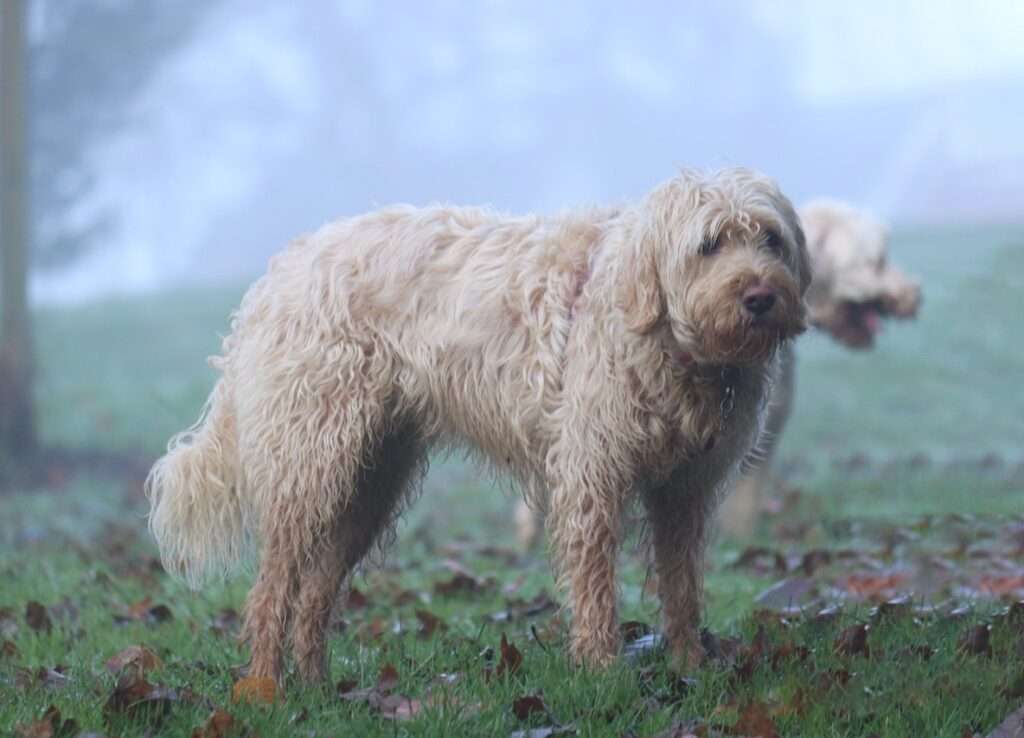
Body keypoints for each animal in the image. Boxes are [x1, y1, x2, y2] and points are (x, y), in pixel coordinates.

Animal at [148, 168, 811, 683]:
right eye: (710, 244)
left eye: (770, 239)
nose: (760, 296)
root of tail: (281, 271)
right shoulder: (592, 478)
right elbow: (596, 586)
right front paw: (602, 671)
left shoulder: (684, 491)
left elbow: (682, 585)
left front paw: (690, 665)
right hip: (309, 464)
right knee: (272, 589)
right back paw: (264, 686)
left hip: (370, 480)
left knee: (315, 591)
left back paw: (313, 685)